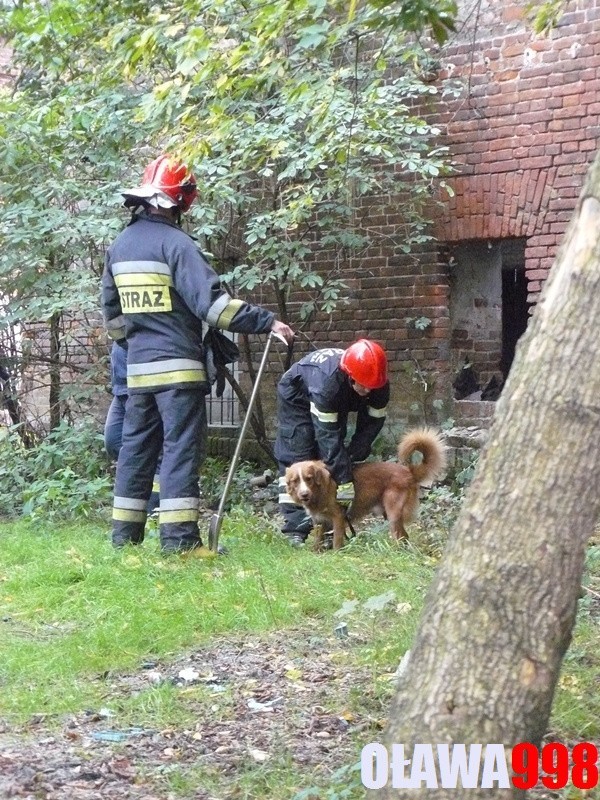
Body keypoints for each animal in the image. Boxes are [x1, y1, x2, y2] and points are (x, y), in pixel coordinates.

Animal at [284, 428, 446, 552]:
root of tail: (408, 471)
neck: (321, 490)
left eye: (309, 478)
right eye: (295, 481)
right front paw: (316, 553)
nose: (304, 494)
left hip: (393, 512)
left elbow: (337, 539)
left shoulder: (338, 517)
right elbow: (318, 540)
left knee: (401, 535)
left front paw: (336, 554)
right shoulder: (319, 521)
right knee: (404, 536)